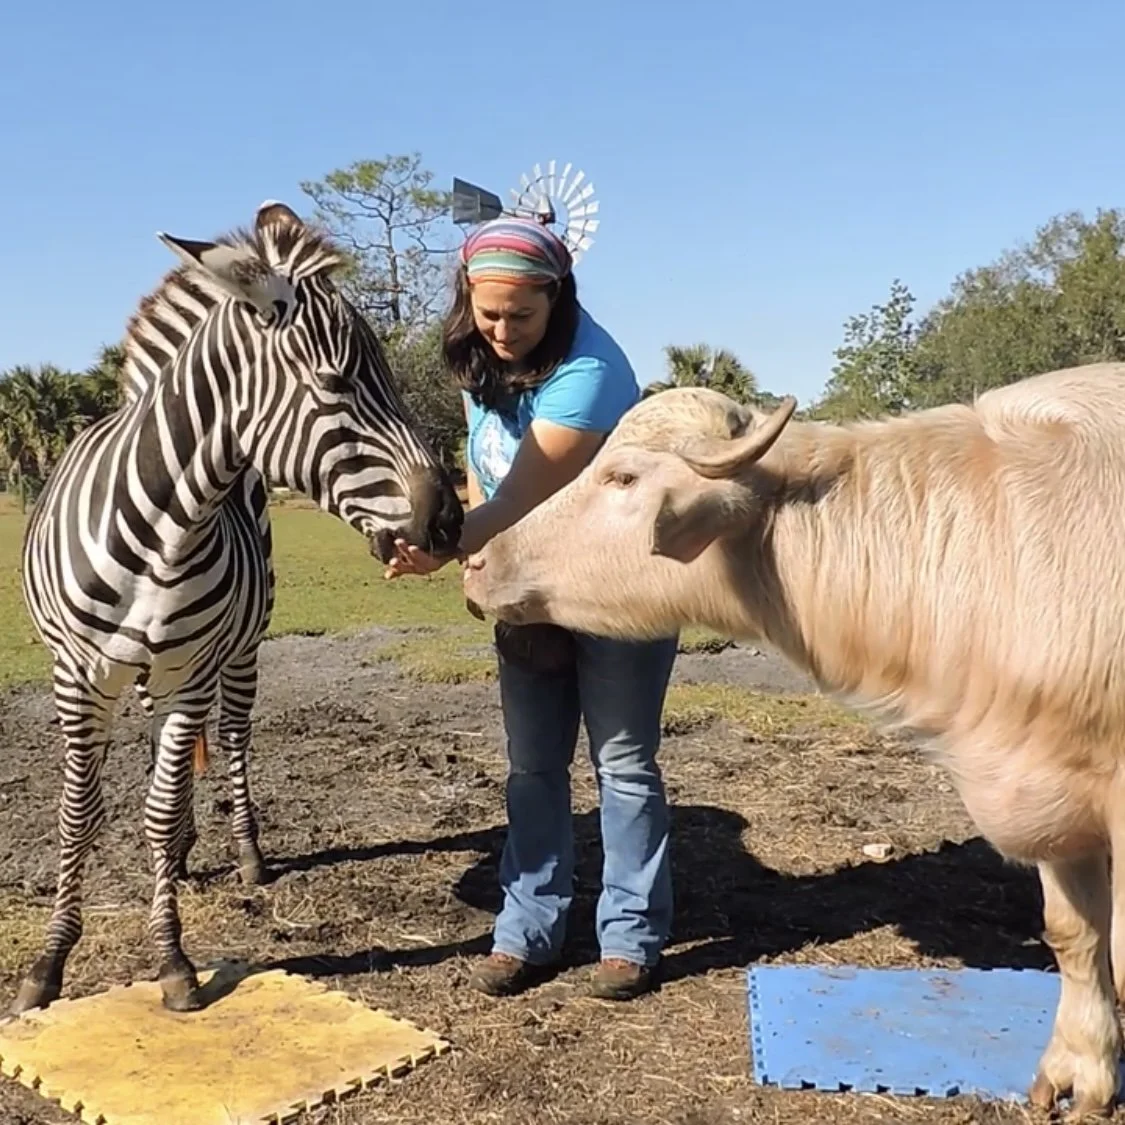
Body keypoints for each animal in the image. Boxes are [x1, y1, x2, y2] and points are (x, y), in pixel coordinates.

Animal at [12, 200, 464, 1017]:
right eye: (336, 381)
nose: (449, 524)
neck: (164, 525)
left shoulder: (192, 670)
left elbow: (159, 811)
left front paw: (172, 960)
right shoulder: (75, 676)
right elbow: (78, 812)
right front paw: (50, 961)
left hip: (241, 649)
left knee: (229, 737)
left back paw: (243, 851)